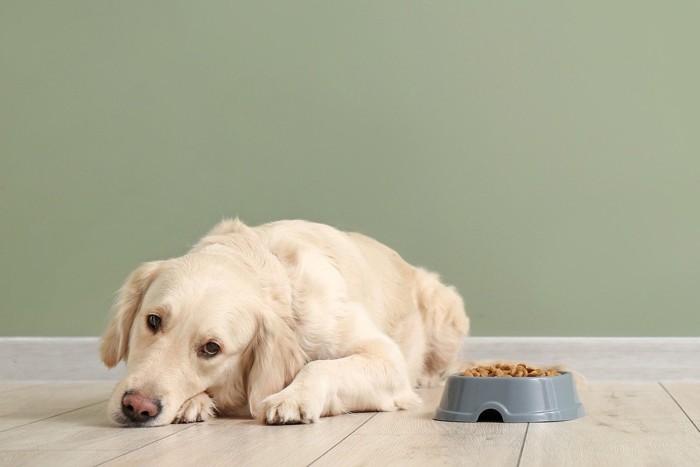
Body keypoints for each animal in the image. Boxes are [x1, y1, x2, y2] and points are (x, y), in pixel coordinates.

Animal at [100, 219, 470, 428]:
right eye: (153, 321)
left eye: (211, 348)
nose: (137, 407)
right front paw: (195, 402)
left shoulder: (387, 360)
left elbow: (319, 366)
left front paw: (292, 398)